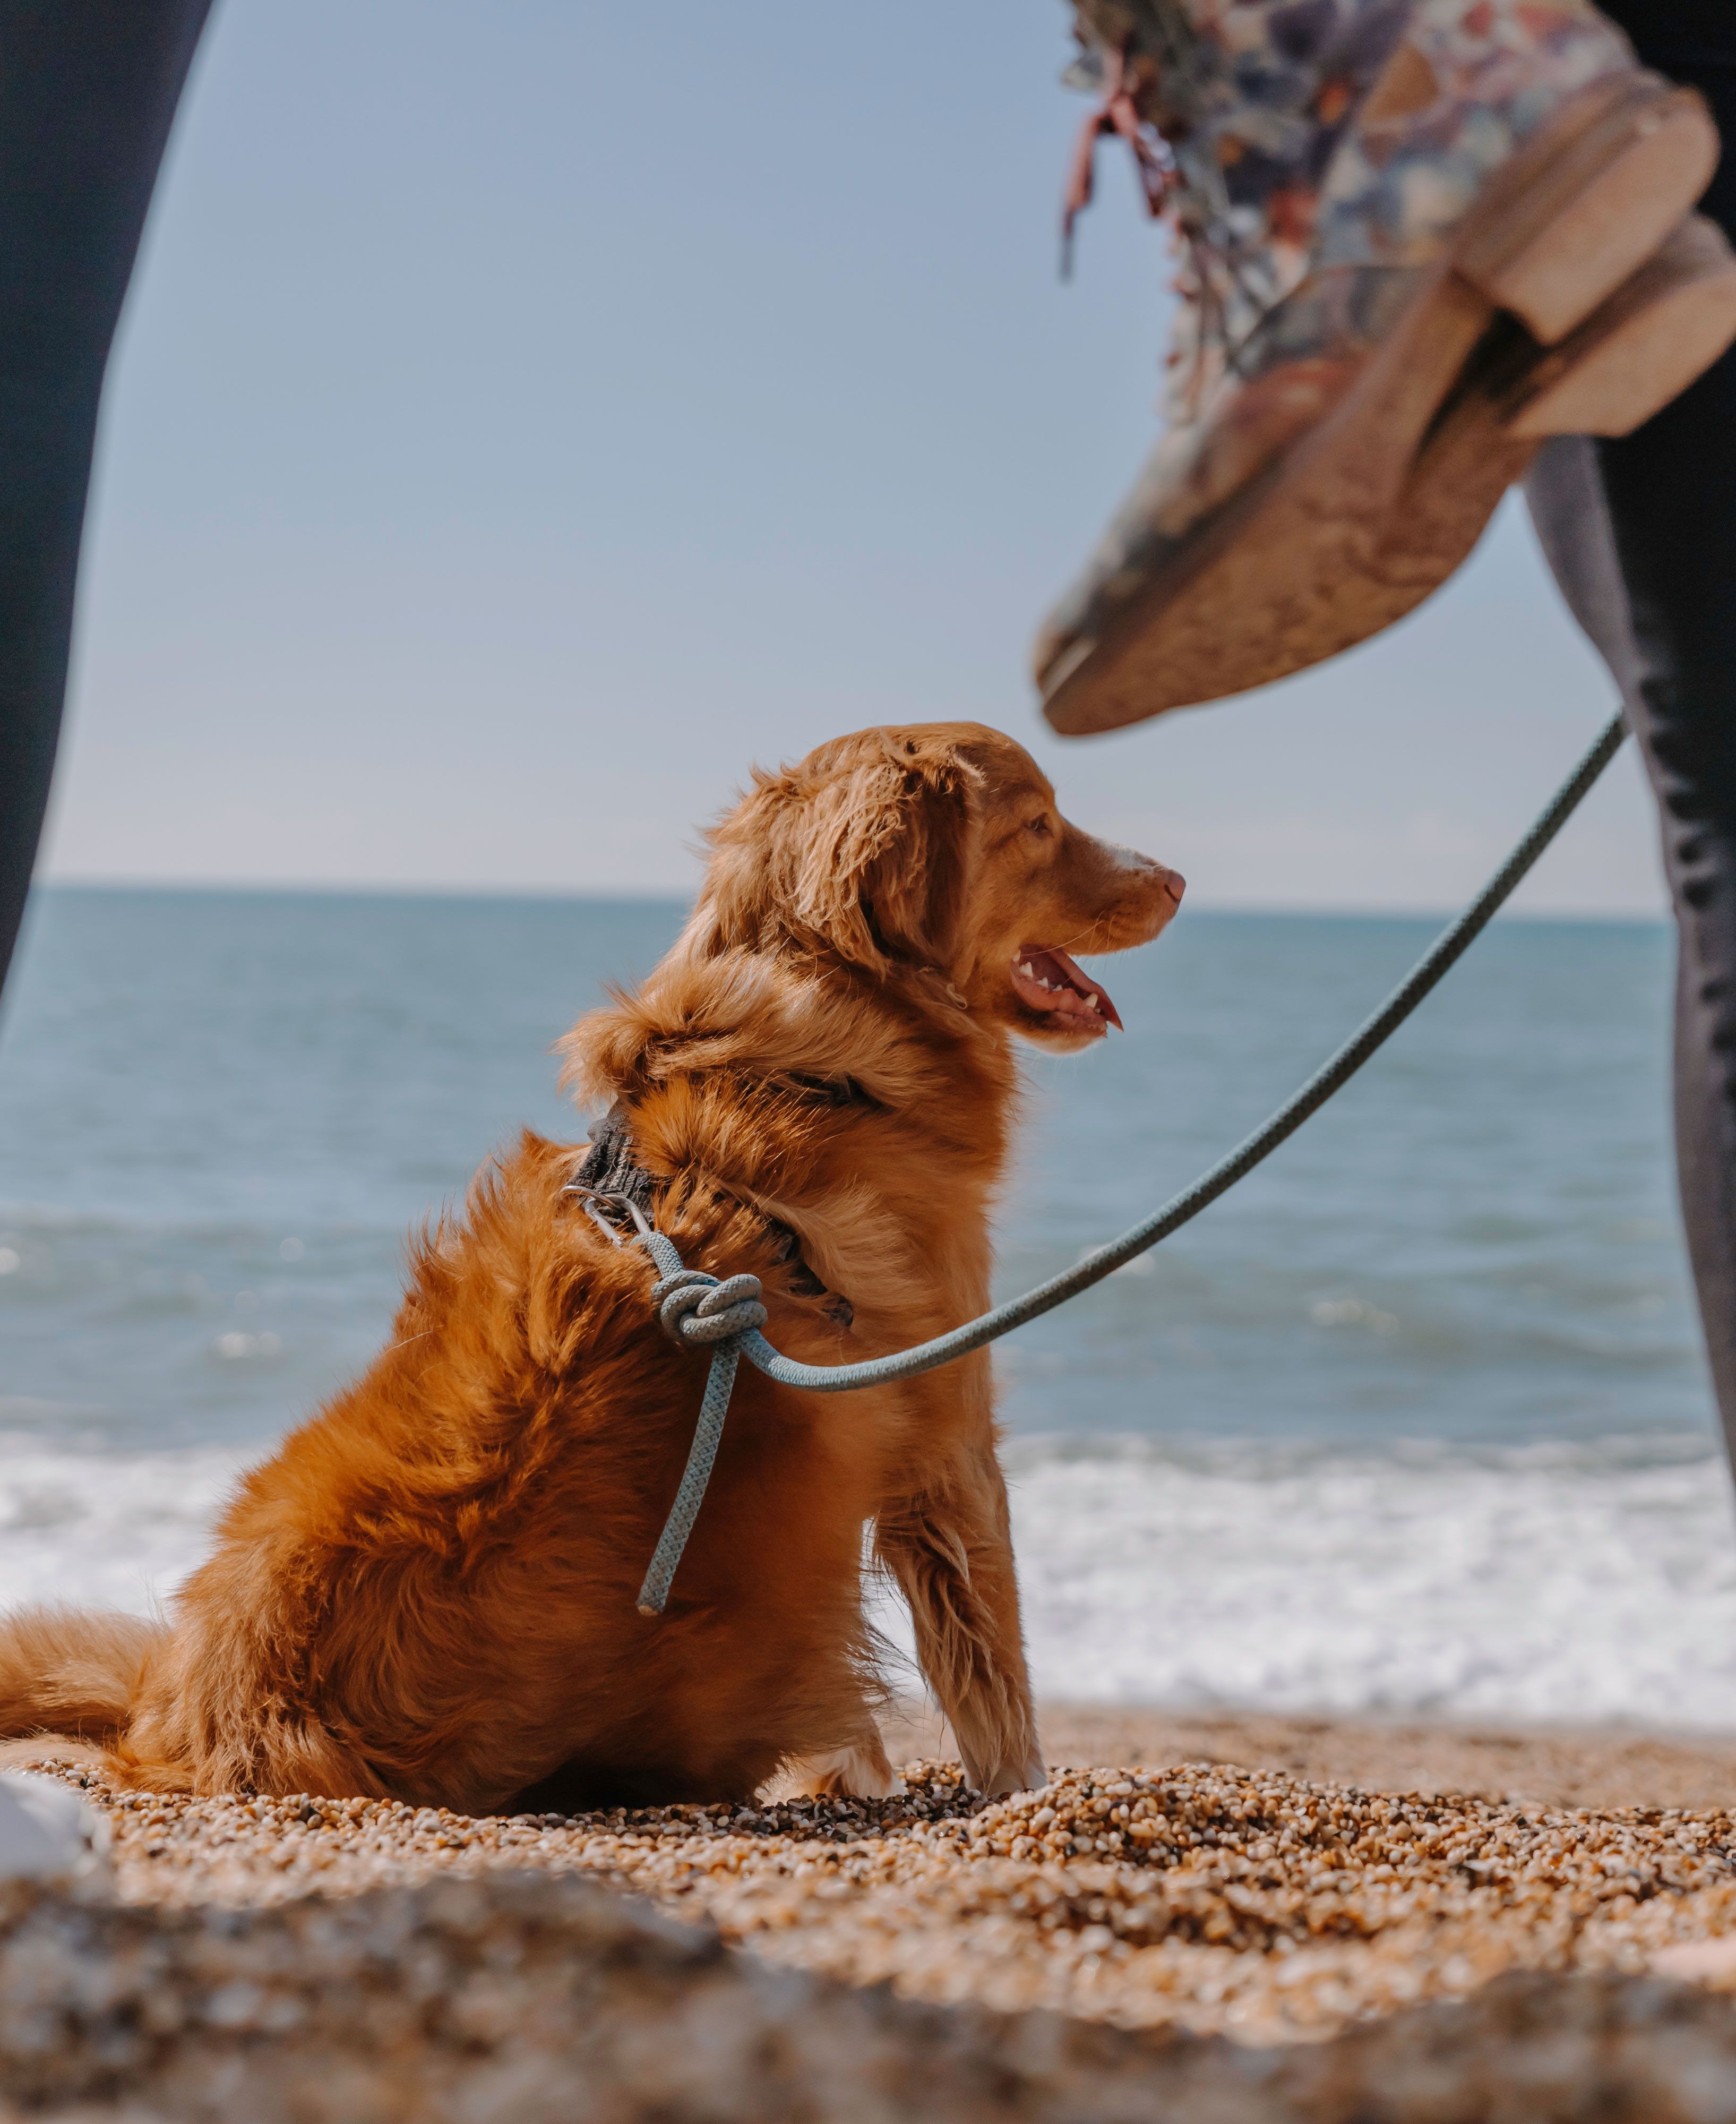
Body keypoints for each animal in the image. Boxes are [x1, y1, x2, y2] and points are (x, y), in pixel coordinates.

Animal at [0, 726, 1180, 1810]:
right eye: (1040, 824)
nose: (1176, 880)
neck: (807, 1053)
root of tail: (189, 1722)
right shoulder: (948, 1440)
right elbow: (993, 1680)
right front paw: (1022, 1794)